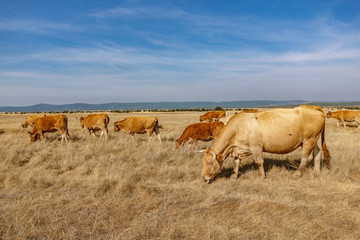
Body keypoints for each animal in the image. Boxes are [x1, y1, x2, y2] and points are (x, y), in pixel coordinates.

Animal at [201, 105, 330, 184]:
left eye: (209, 162)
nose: (203, 177)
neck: (238, 127)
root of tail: (312, 107)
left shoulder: (256, 147)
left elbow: (259, 162)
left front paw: (261, 176)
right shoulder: (238, 148)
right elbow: (236, 162)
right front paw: (234, 176)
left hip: (309, 140)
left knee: (305, 158)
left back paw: (296, 174)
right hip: (311, 140)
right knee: (317, 154)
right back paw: (317, 173)